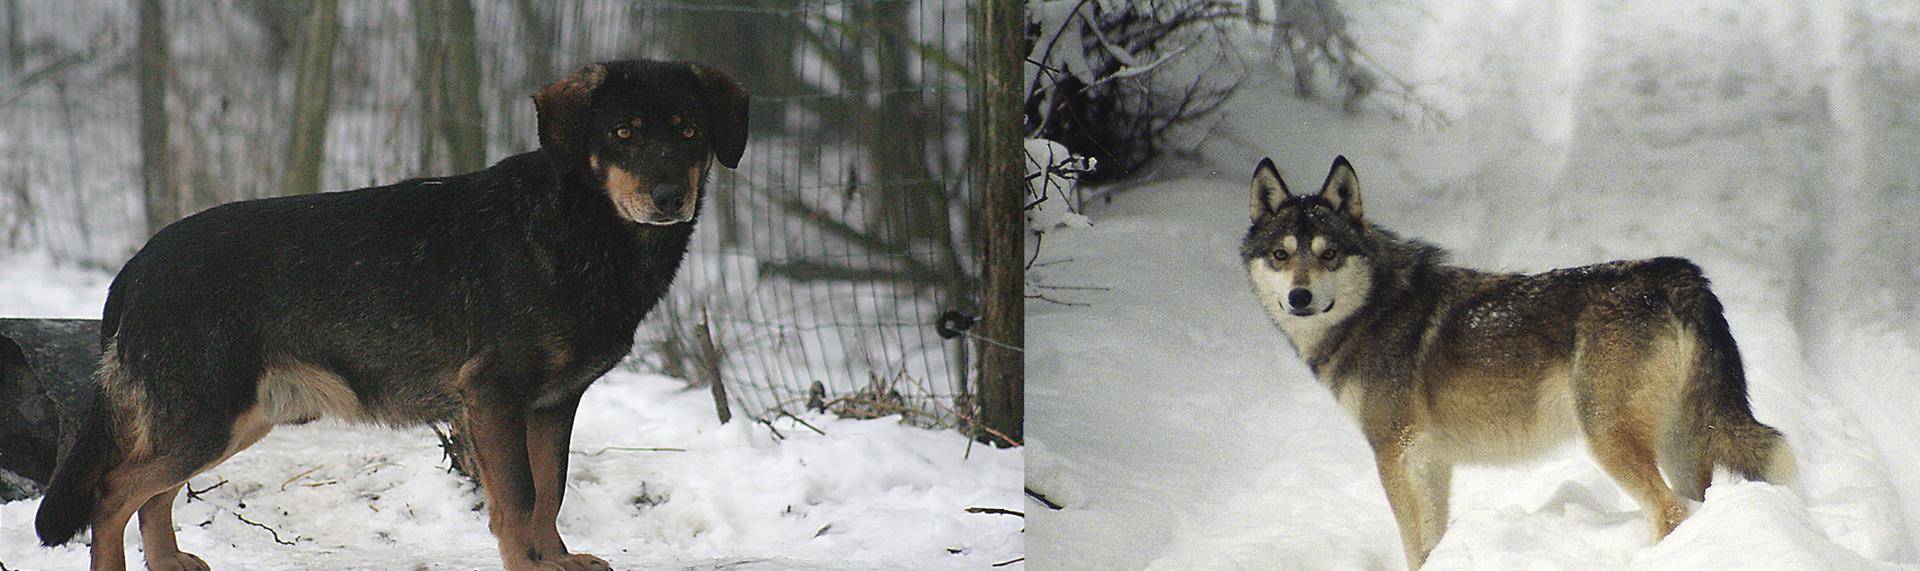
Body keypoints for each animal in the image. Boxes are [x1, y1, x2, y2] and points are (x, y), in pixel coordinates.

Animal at [33, 60, 748, 565]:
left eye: (689, 132)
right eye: (623, 134)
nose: (669, 197)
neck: (578, 227)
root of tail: (138, 264)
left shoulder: (550, 407)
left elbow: (551, 494)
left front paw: (557, 561)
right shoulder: (495, 398)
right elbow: (518, 502)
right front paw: (533, 565)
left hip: (235, 420)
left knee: (149, 497)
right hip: (206, 420)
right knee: (111, 497)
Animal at [1236, 154, 1789, 565]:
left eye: (1328, 254)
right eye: (1281, 256)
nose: (1300, 297)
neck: (1375, 307)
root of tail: (1675, 273)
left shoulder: (1394, 455)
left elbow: (1414, 546)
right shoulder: (1431, 461)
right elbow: (1431, 541)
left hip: (1609, 439)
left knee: (1672, 512)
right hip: (1679, 442)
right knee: (1695, 505)